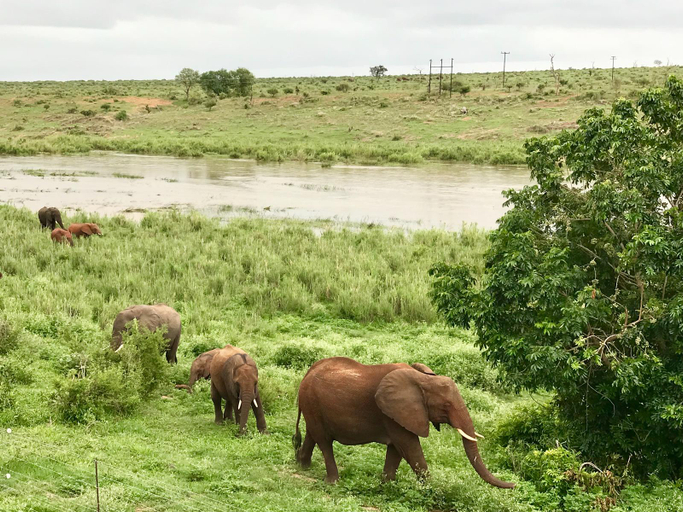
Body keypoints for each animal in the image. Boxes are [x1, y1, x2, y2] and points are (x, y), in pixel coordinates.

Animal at [293, 357, 514, 488]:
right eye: (446, 406)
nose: (514, 485)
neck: (423, 379)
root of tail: (308, 372)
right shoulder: (393, 413)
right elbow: (410, 447)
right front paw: (432, 490)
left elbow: (397, 450)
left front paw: (387, 486)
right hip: (312, 401)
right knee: (324, 442)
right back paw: (332, 482)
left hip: (312, 405)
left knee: (312, 434)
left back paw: (302, 465)